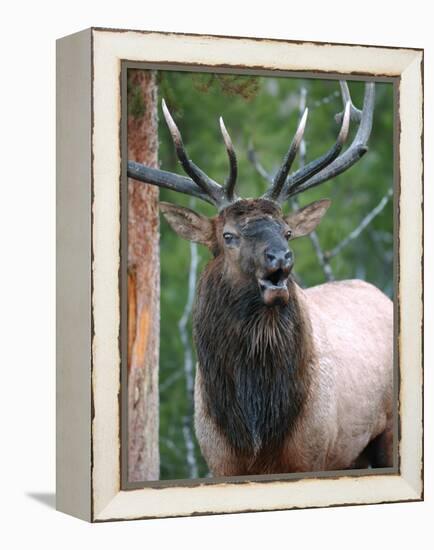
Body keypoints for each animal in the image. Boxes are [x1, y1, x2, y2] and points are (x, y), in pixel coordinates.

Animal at [126, 82, 394, 478]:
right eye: (228, 236)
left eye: (287, 231)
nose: (281, 257)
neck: (255, 429)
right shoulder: (219, 461)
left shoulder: (312, 454)